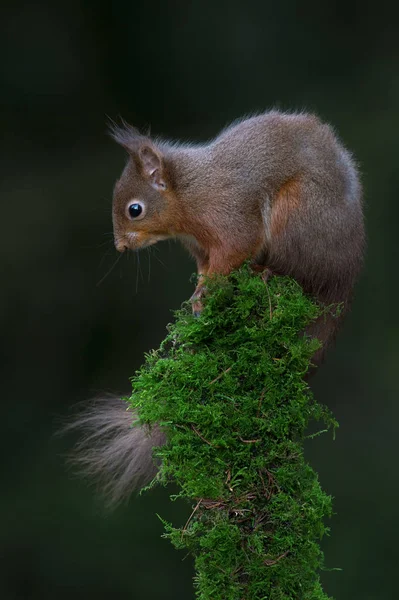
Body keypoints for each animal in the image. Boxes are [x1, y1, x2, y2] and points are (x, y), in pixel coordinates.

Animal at [72, 111, 366, 502]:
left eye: (135, 210)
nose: (121, 247)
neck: (189, 192)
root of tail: (342, 279)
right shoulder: (199, 247)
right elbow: (205, 267)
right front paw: (197, 292)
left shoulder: (227, 214)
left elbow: (235, 248)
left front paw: (205, 291)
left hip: (300, 213)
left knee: (297, 273)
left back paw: (266, 271)